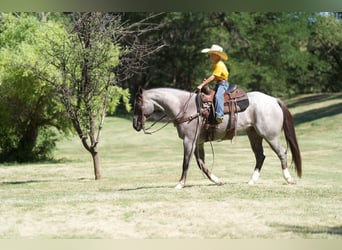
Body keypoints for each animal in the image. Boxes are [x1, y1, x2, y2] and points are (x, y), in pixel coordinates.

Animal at [132, 87, 300, 188]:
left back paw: (288, 178)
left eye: (138, 105)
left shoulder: (188, 140)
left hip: (270, 135)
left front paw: (180, 184)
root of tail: (274, 100)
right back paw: (252, 180)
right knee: (260, 155)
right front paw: (217, 180)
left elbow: (186, 162)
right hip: (254, 134)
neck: (183, 106)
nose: (135, 125)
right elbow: (201, 164)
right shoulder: (197, 142)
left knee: (282, 153)